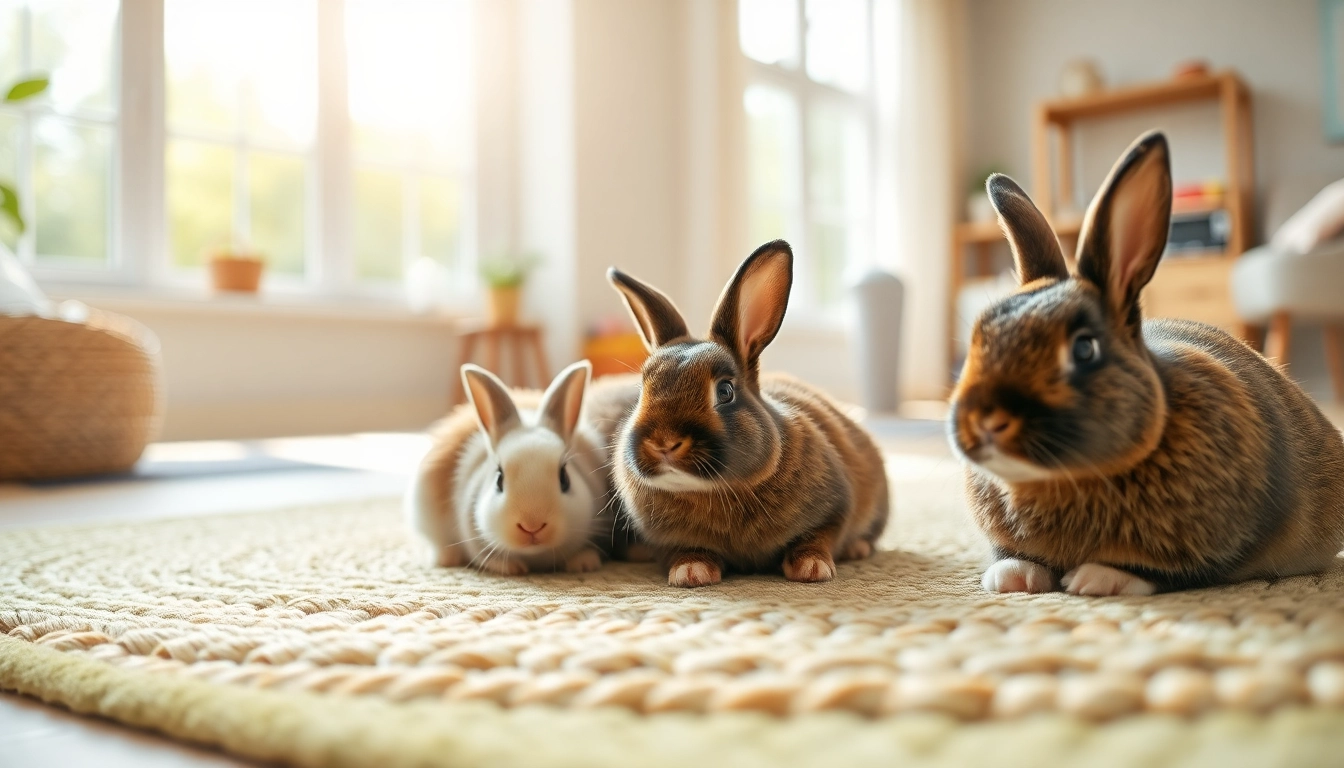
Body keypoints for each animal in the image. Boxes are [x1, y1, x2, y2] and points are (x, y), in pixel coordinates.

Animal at [405, 360, 629, 575]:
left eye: (565, 479)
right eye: (499, 479)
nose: (532, 526)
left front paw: (584, 564)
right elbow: (486, 557)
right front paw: (512, 568)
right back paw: (448, 559)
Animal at [605, 240, 889, 587]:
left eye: (725, 391)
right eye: (642, 389)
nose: (664, 443)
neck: (715, 491)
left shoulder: (835, 509)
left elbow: (818, 538)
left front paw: (811, 568)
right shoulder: (667, 540)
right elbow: (682, 551)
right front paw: (691, 573)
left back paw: (857, 548)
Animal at [949, 130, 1344, 596]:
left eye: (1084, 350)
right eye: (979, 336)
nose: (985, 421)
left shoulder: (1224, 542)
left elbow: (1169, 572)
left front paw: (1095, 578)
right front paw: (1013, 576)